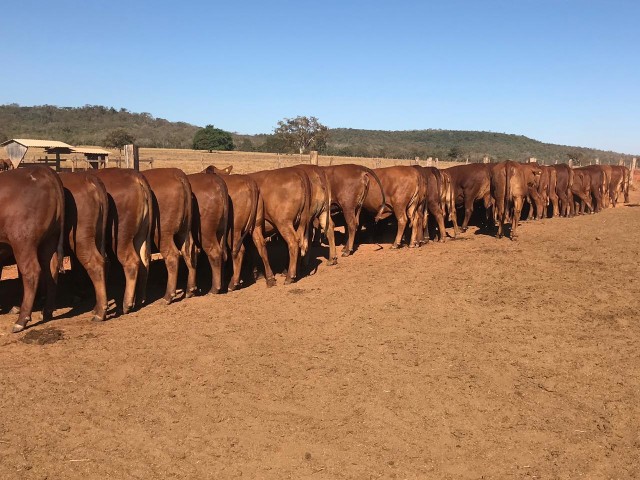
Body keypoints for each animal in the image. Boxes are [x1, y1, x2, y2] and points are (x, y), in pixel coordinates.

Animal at [0, 167, 64, 332]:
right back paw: (47, 310)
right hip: (50, 238)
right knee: (50, 269)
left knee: (32, 272)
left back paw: (21, 320)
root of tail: (42, 170)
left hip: (23, 242)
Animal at [94, 169, 152, 316]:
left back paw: (126, 304)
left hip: (121, 237)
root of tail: (135, 176)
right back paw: (139, 300)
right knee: (144, 262)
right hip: (141, 235)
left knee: (131, 262)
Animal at [142, 169, 198, 304]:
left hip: (162, 234)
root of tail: (176, 173)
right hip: (184, 230)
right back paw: (190, 289)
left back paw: (168, 296)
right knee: (190, 251)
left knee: (172, 256)